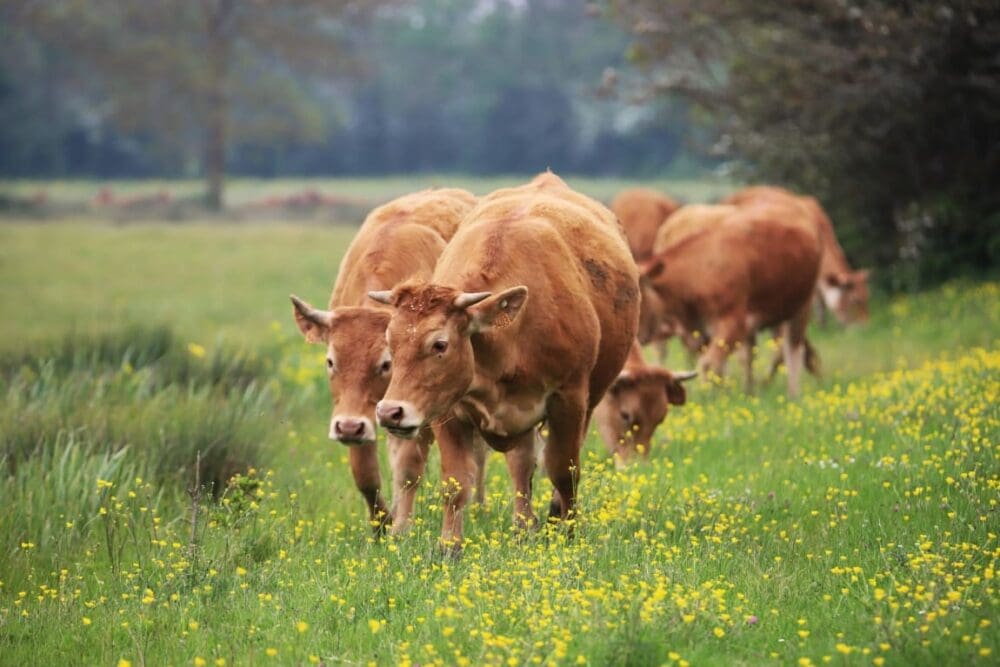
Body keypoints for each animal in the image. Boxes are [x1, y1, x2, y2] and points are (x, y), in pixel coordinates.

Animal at [289, 188, 479, 535]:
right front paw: (381, 526)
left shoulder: (419, 414)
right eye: (330, 361)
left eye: (385, 363)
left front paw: (401, 528)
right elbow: (365, 474)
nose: (348, 427)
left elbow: (408, 469)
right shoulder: (363, 412)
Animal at [369, 172, 640, 549]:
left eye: (440, 344)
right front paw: (449, 547)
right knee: (521, 465)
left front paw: (568, 535)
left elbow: (564, 471)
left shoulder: (569, 400)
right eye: (390, 343)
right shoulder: (448, 410)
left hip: (589, 399)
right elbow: (456, 483)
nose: (389, 412)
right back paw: (524, 526)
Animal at [641, 200, 822, 397]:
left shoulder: (732, 323)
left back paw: (792, 394)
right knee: (754, 355)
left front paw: (708, 397)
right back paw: (750, 390)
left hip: (801, 307)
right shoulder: (704, 330)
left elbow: (708, 364)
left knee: (793, 350)